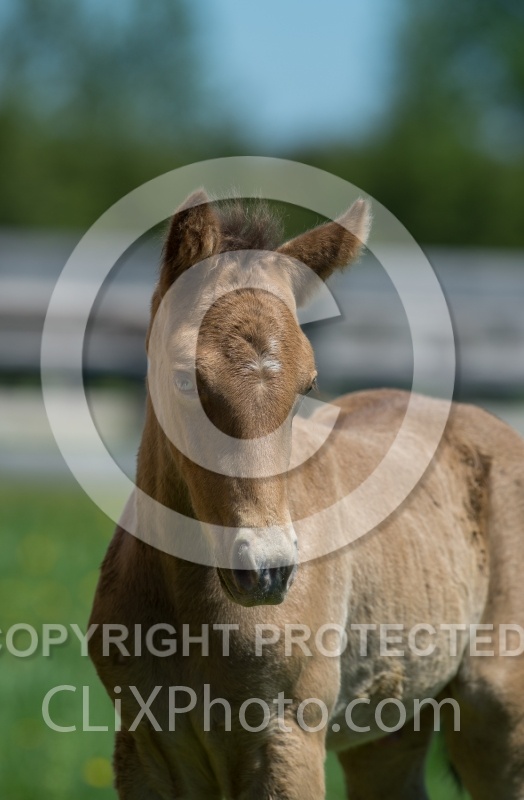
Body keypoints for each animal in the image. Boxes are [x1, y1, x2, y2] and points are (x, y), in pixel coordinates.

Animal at [89, 190, 524, 799]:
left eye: (309, 385)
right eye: (181, 379)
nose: (266, 570)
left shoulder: (287, 739)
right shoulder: (144, 748)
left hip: (499, 720)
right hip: (390, 727)